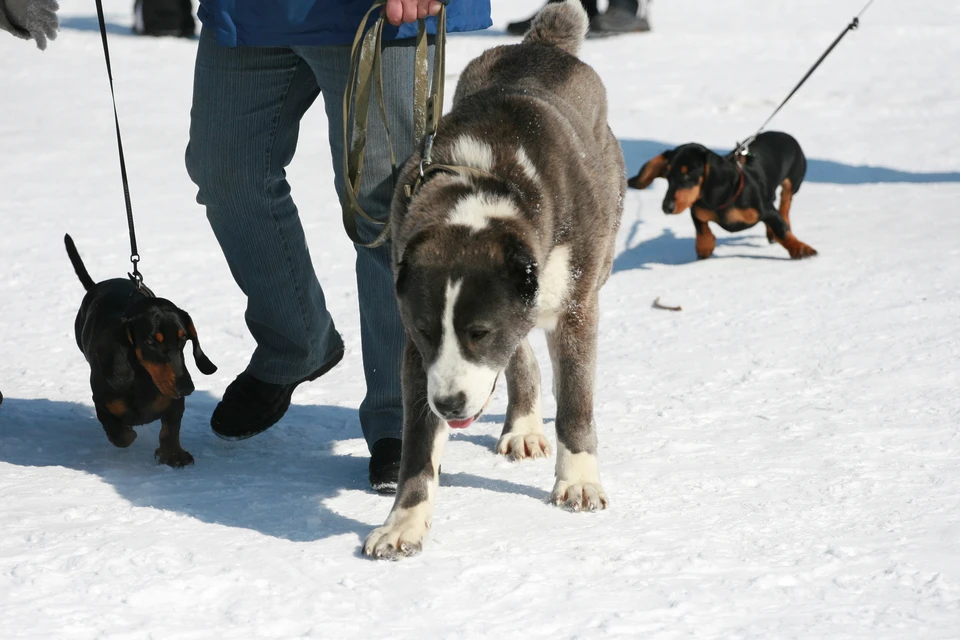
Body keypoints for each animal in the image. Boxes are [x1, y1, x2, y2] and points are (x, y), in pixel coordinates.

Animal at [360, 0, 624, 556]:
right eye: (425, 331)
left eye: (479, 332)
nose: (449, 403)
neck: (488, 181)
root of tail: (541, 46)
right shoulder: (418, 355)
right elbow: (418, 445)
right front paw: (404, 522)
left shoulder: (575, 307)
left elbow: (575, 403)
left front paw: (579, 481)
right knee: (521, 355)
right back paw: (522, 424)